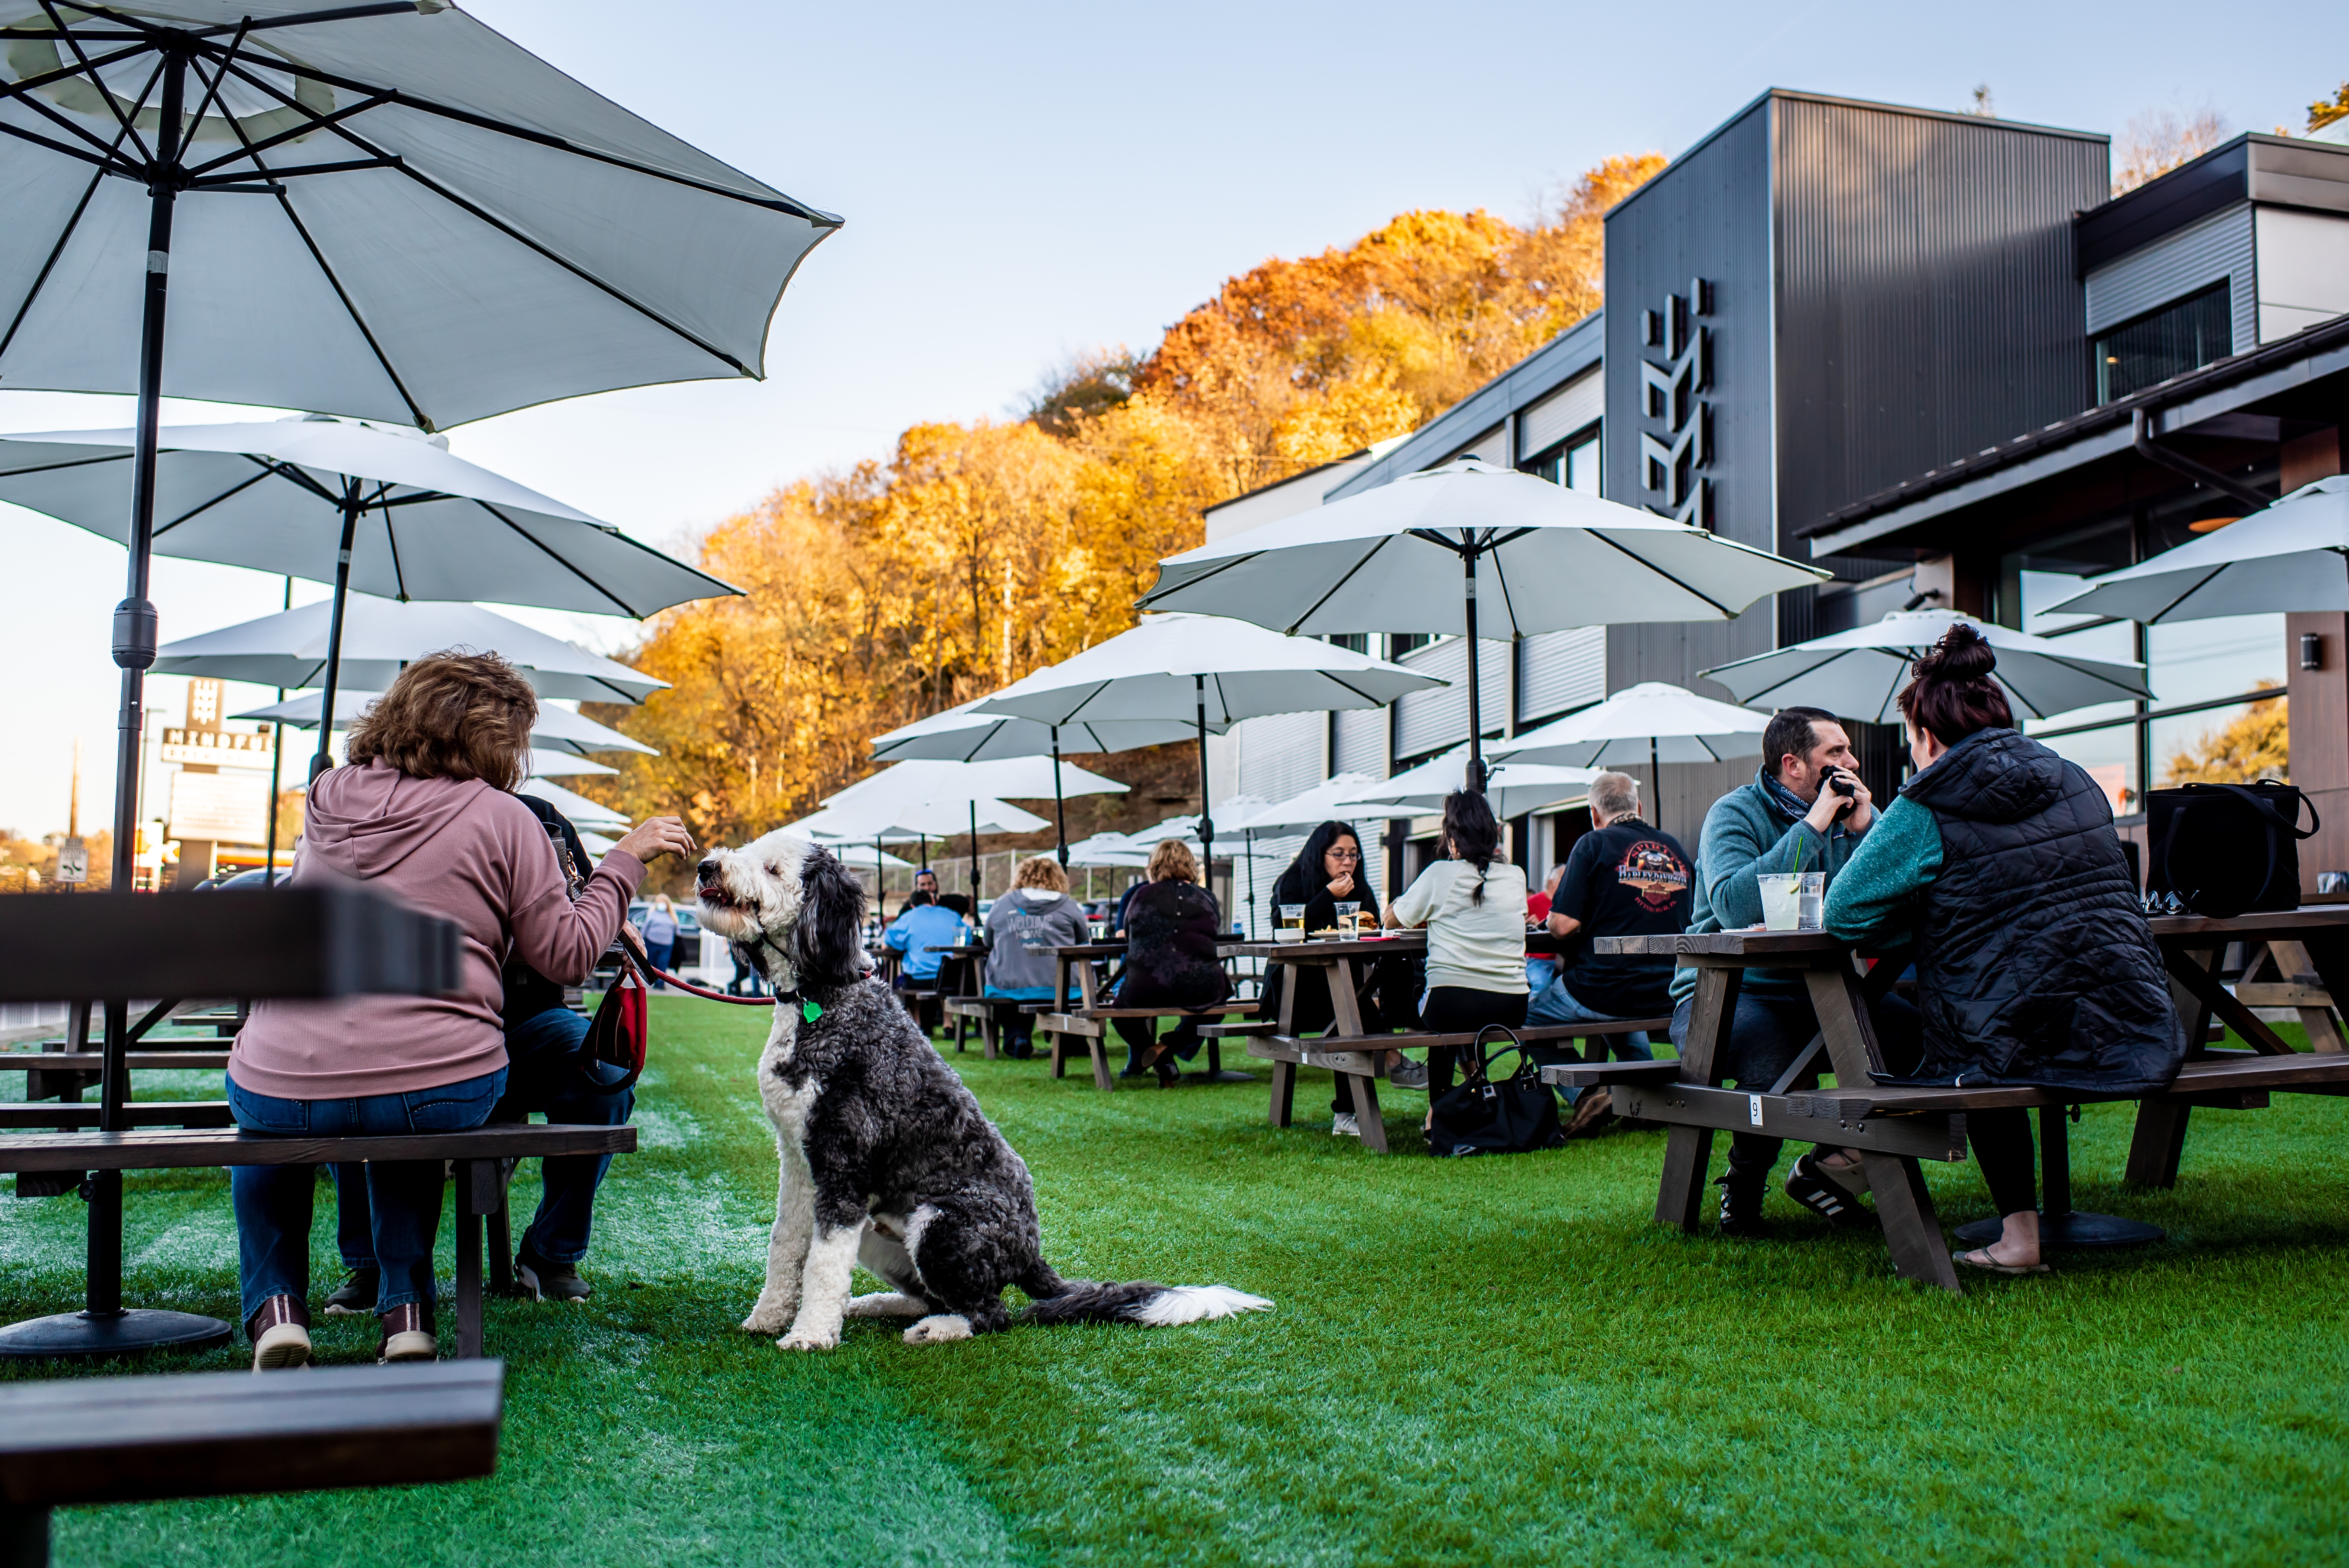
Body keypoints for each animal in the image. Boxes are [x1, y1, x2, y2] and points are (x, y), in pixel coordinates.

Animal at [686, 826, 1278, 1352]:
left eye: (772, 867)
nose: (707, 866)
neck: (820, 996)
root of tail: (1031, 1251)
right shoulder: (798, 1160)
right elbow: (786, 1244)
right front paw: (767, 1317)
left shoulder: (844, 1165)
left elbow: (823, 1263)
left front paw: (809, 1334)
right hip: (881, 1230)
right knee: (934, 1296)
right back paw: (878, 1305)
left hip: (941, 1223)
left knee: (992, 1312)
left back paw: (937, 1329)